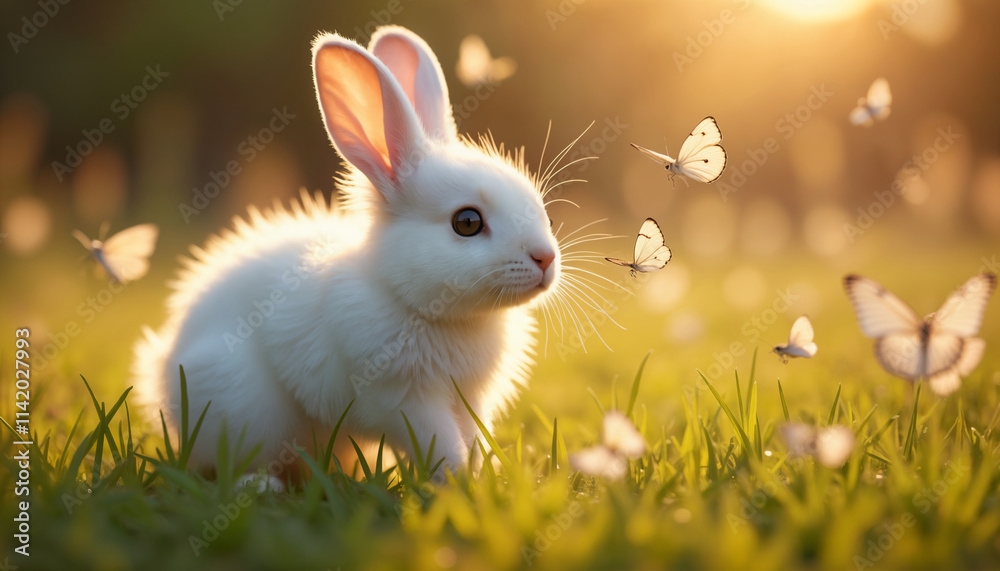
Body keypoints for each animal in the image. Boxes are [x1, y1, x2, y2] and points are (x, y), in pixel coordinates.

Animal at [132, 26, 560, 479]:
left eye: (544, 212)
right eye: (467, 222)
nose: (545, 258)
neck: (415, 304)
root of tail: (163, 367)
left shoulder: (470, 399)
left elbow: (473, 440)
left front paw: (480, 482)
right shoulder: (407, 400)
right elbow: (444, 446)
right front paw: (458, 485)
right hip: (245, 408)